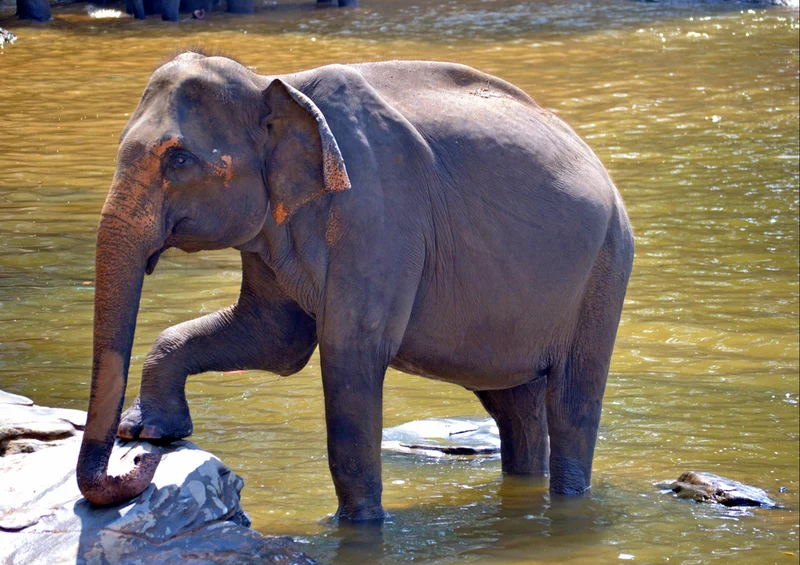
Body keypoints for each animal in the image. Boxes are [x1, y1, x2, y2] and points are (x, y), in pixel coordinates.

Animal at [76, 51, 634, 522]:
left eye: (178, 160)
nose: (137, 465)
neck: (272, 81)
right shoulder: (273, 225)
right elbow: (273, 339)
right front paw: (150, 429)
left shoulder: (378, 211)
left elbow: (351, 350)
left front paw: (355, 526)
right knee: (514, 404)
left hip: (605, 270)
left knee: (572, 402)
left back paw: (569, 498)